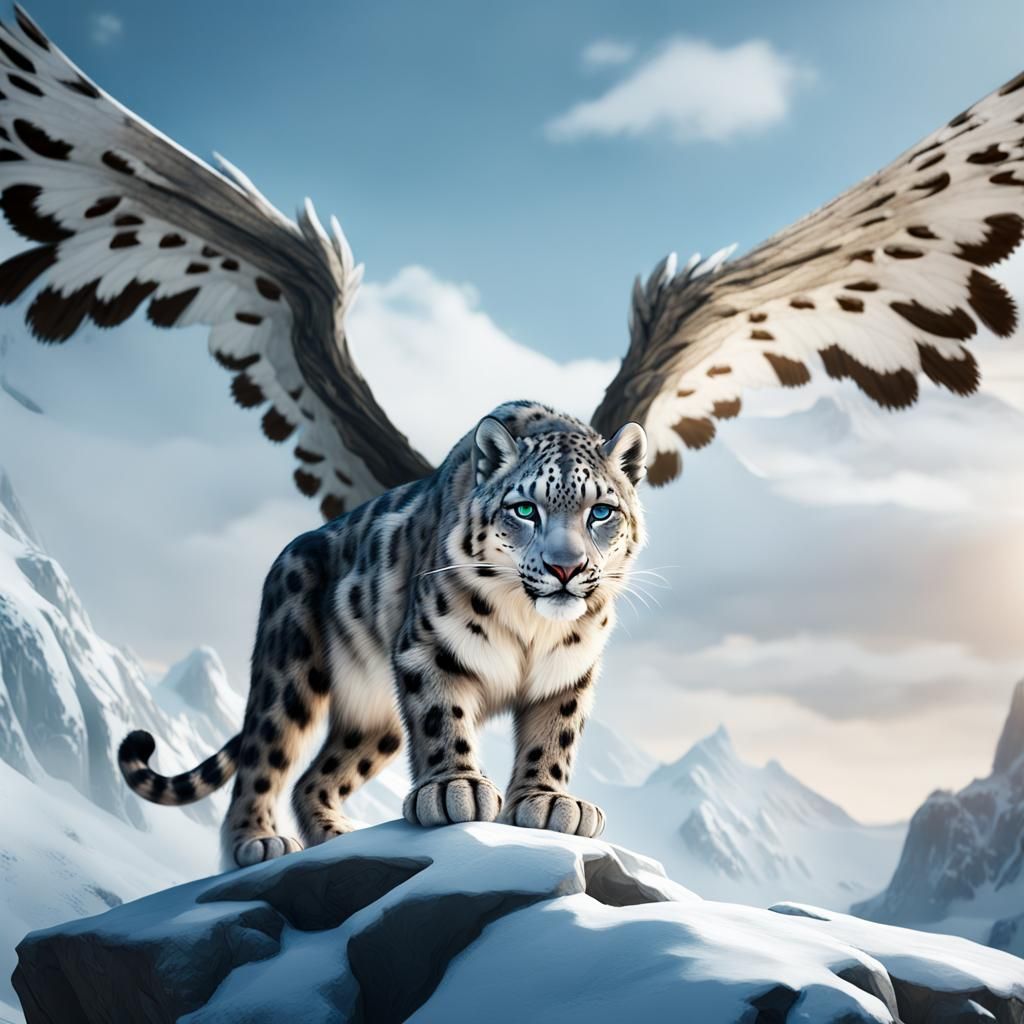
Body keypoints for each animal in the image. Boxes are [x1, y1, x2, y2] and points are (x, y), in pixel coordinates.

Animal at [119, 401, 647, 869]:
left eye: (601, 512)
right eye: (524, 509)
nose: (565, 568)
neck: (532, 628)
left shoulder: (569, 672)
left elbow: (554, 736)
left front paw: (548, 801)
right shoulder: (428, 648)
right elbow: (442, 717)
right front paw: (455, 789)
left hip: (377, 720)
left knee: (314, 777)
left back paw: (337, 837)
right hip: (288, 673)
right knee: (265, 755)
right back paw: (257, 841)